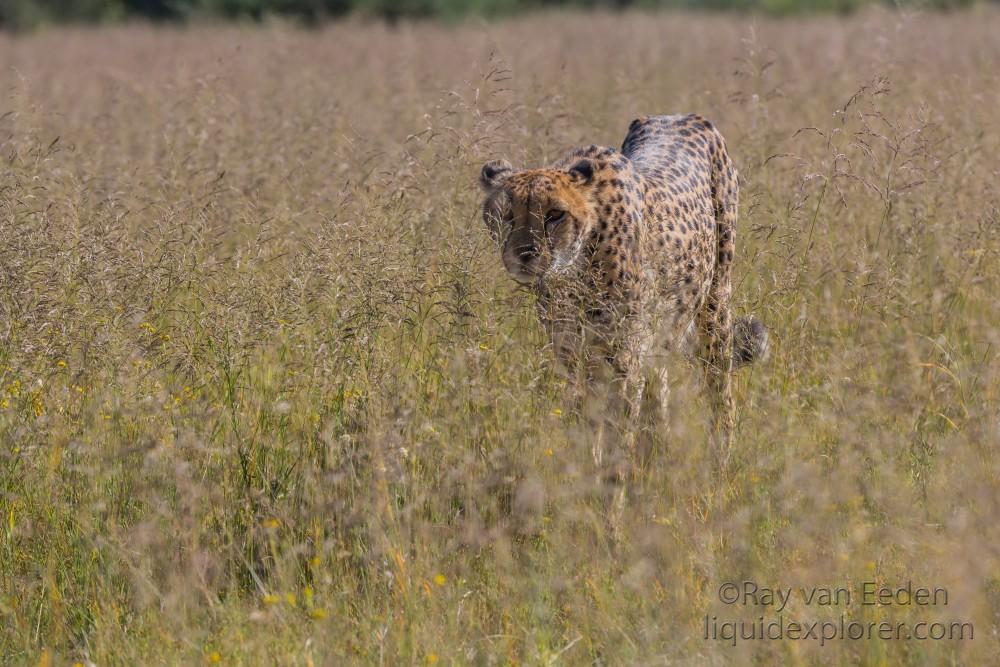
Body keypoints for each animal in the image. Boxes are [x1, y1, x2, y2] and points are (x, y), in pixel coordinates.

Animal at [480, 113, 768, 464]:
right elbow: (585, 423)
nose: (524, 254)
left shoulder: (622, 361)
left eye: (555, 214)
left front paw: (614, 475)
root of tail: (678, 115)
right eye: (506, 214)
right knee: (659, 390)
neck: (574, 267)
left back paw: (719, 461)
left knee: (719, 390)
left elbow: (617, 430)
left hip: (715, 306)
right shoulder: (574, 358)